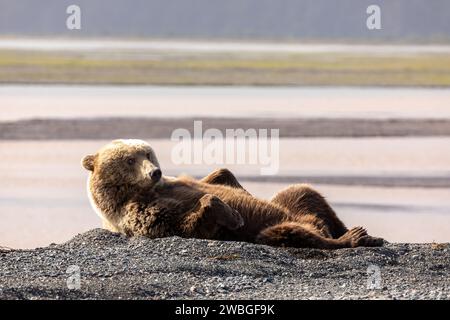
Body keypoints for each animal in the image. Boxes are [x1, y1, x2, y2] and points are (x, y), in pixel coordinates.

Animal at [81, 139, 384, 249]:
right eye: (130, 160)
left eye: (147, 153)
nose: (155, 172)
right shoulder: (140, 212)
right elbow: (186, 223)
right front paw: (234, 215)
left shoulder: (176, 184)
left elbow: (220, 176)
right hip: (273, 228)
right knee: (288, 233)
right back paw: (352, 237)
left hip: (298, 205)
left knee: (304, 192)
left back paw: (366, 234)